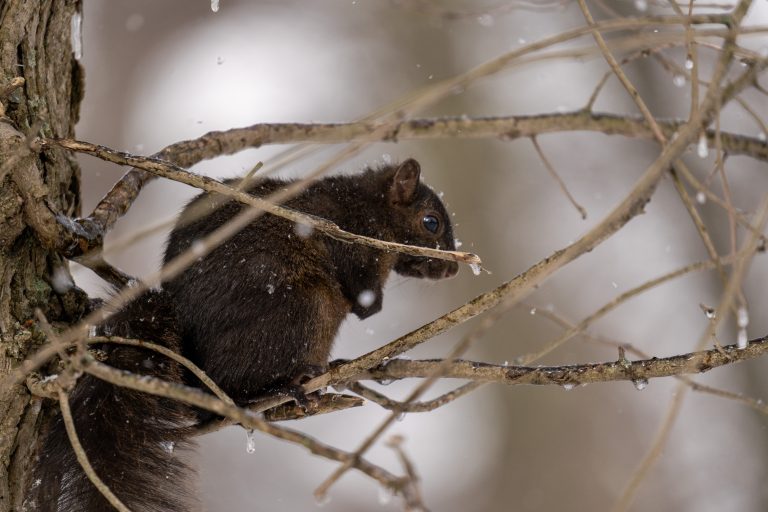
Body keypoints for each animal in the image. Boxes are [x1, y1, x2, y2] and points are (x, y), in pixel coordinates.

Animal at [31, 158, 456, 510]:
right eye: (430, 222)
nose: (452, 269)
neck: (370, 208)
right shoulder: (355, 249)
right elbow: (366, 302)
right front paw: (372, 306)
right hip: (304, 309)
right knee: (236, 385)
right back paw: (289, 385)